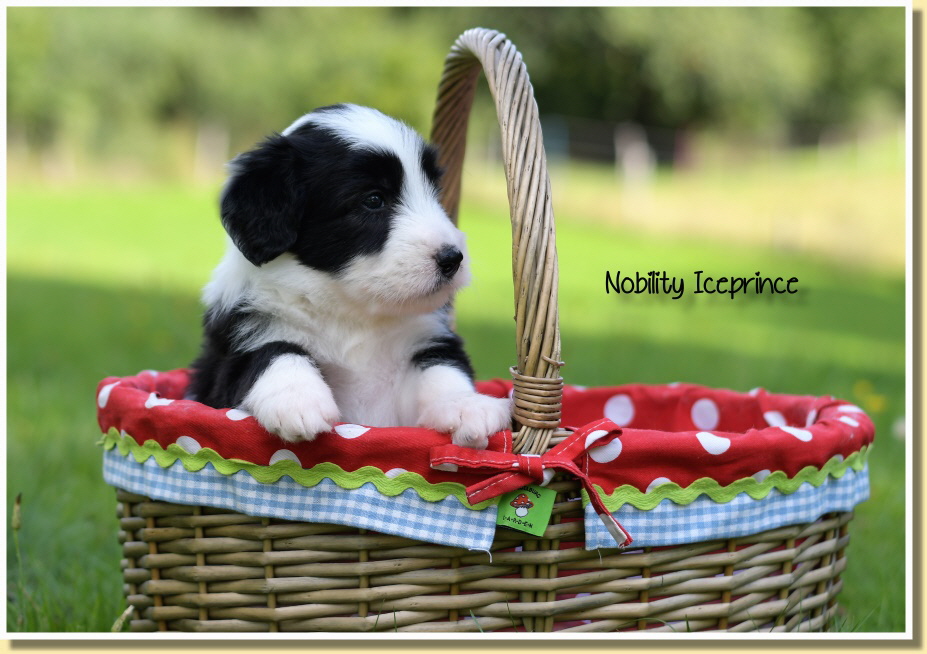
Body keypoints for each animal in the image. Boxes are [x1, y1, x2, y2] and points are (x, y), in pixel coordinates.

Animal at [187, 104, 512, 449]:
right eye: (373, 200)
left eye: (434, 192)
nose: (452, 258)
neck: (351, 311)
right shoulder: (235, 347)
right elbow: (274, 351)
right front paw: (298, 401)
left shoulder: (426, 338)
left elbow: (442, 367)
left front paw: (466, 405)